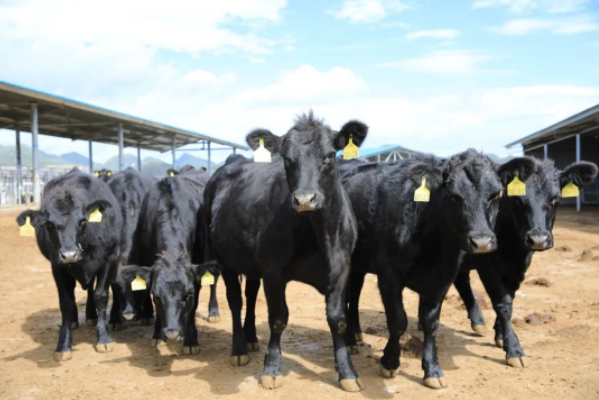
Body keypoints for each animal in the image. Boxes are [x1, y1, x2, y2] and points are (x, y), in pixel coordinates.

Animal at [16, 167, 122, 360]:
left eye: (83, 221)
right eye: (49, 224)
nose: (69, 254)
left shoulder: (110, 258)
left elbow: (101, 295)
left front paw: (104, 339)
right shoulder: (57, 266)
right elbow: (66, 302)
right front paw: (63, 345)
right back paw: (76, 320)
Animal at [113, 168, 219, 354]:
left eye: (188, 295)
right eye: (156, 296)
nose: (172, 332)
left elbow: (193, 308)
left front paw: (191, 340)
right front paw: (157, 335)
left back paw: (213, 313)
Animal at [204, 111, 368, 390]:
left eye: (329, 155)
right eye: (287, 159)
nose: (304, 199)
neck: (320, 235)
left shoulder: (343, 267)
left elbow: (337, 318)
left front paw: (348, 372)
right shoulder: (273, 271)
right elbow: (278, 318)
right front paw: (271, 368)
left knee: (250, 296)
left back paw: (251, 338)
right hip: (224, 259)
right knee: (236, 301)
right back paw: (239, 349)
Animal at [340, 150, 508, 388]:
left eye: (496, 195)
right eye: (453, 196)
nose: (482, 242)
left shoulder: (442, 280)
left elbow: (431, 323)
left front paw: (432, 370)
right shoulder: (389, 277)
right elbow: (398, 322)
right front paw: (389, 362)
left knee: (354, 293)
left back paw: (355, 334)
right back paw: (349, 339)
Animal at [452, 156, 596, 366]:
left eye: (555, 199)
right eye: (518, 199)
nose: (538, 239)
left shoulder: (519, 267)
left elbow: (510, 299)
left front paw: (501, 336)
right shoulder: (487, 263)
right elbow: (502, 303)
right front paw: (513, 348)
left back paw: (477, 321)